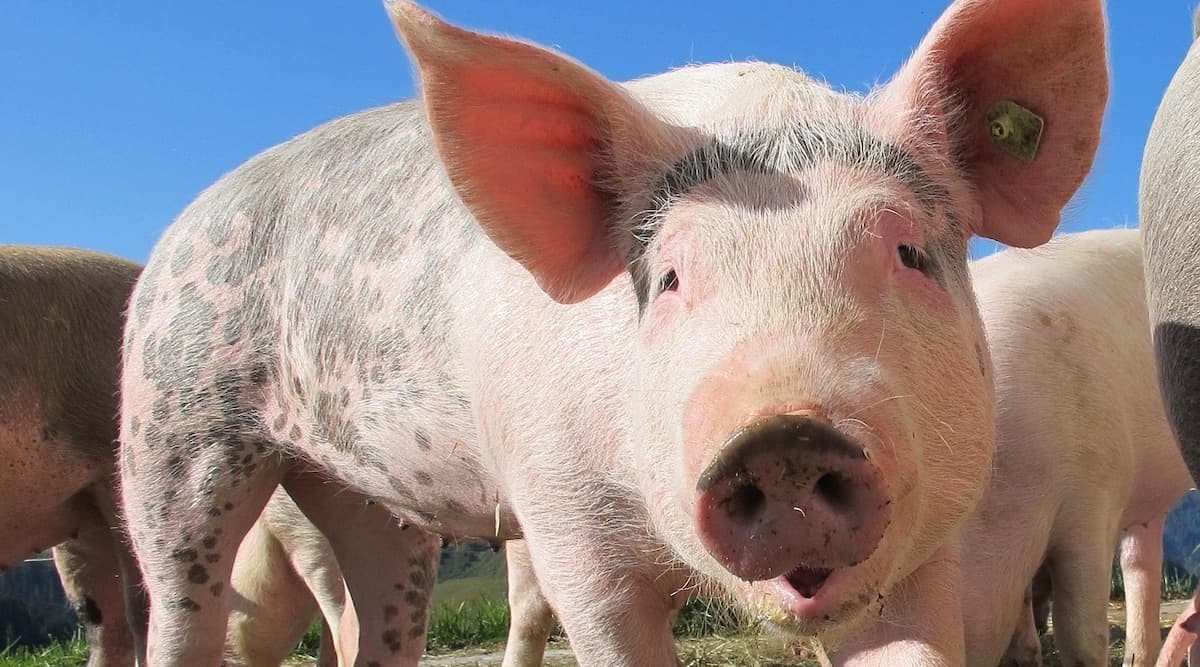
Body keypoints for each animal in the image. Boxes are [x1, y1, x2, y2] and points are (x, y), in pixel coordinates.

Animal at [116, 0, 1108, 665]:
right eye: (668, 278)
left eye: (907, 251)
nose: (785, 435)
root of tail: (180, 228)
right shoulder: (564, 525)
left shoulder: (929, 537)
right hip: (175, 422)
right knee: (179, 602)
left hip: (366, 500)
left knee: (376, 617)